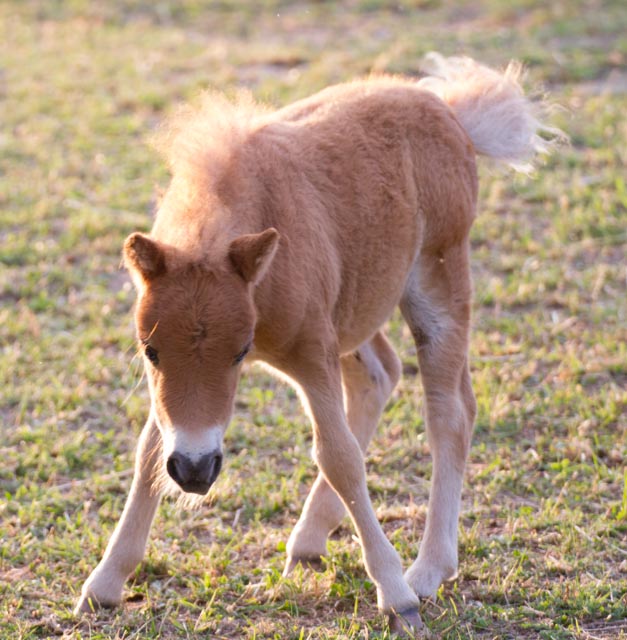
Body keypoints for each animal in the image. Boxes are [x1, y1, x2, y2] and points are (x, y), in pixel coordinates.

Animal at [76, 56, 560, 636]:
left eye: (239, 352)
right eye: (149, 352)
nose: (195, 470)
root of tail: (447, 111)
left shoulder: (312, 352)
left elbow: (339, 456)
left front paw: (396, 596)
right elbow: (149, 453)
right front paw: (103, 585)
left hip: (437, 280)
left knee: (450, 412)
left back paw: (427, 570)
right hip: (353, 311)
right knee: (380, 374)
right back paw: (310, 542)